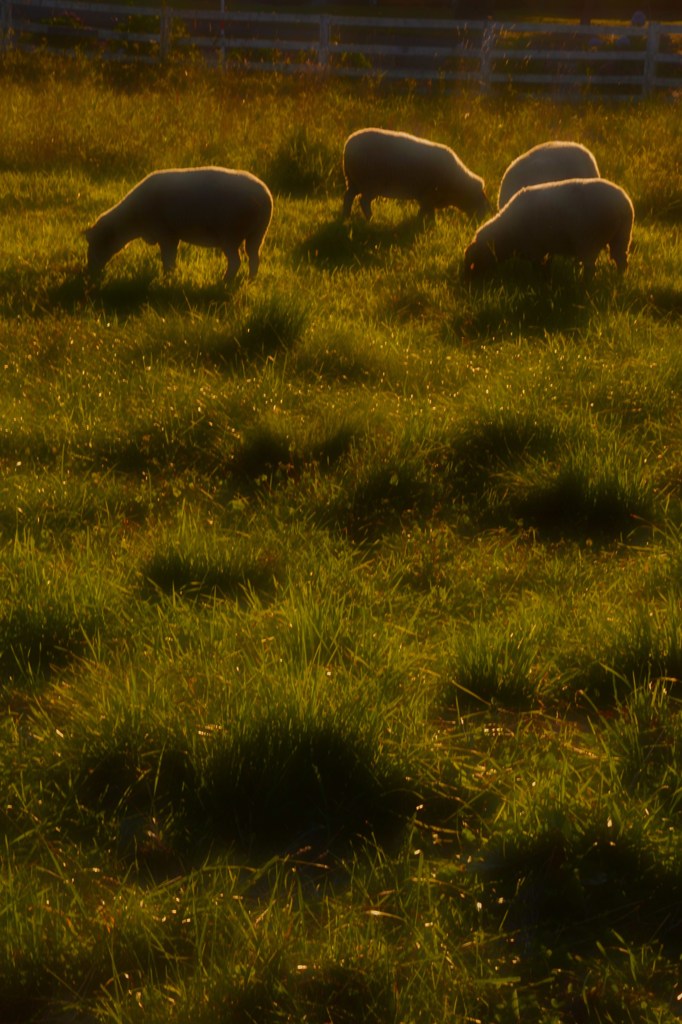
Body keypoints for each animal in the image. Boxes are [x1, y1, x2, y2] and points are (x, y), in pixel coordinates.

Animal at [85, 166, 274, 282]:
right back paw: (250, 280)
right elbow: (171, 258)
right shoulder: (171, 235)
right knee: (254, 258)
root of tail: (264, 196)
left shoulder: (165, 233)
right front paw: (171, 276)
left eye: (98, 243)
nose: (89, 272)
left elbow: (167, 258)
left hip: (230, 234)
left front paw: (167, 277)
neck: (133, 219)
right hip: (258, 233)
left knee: (236, 261)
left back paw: (224, 281)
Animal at [342, 126, 485, 223]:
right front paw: (424, 223)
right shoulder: (429, 195)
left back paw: (346, 216)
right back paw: (371, 219)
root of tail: (348, 145)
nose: (486, 214)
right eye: (479, 197)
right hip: (369, 183)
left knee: (348, 197)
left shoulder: (427, 197)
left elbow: (428, 211)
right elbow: (426, 211)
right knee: (363, 201)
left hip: (353, 180)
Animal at [462, 177, 630, 280]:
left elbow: (538, 268)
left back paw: (584, 286)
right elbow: (547, 263)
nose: (469, 281)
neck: (506, 235)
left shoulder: (533, 249)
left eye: (473, 262)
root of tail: (622, 205)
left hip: (589, 241)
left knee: (590, 268)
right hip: (622, 236)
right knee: (621, 261)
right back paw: (619, 279)